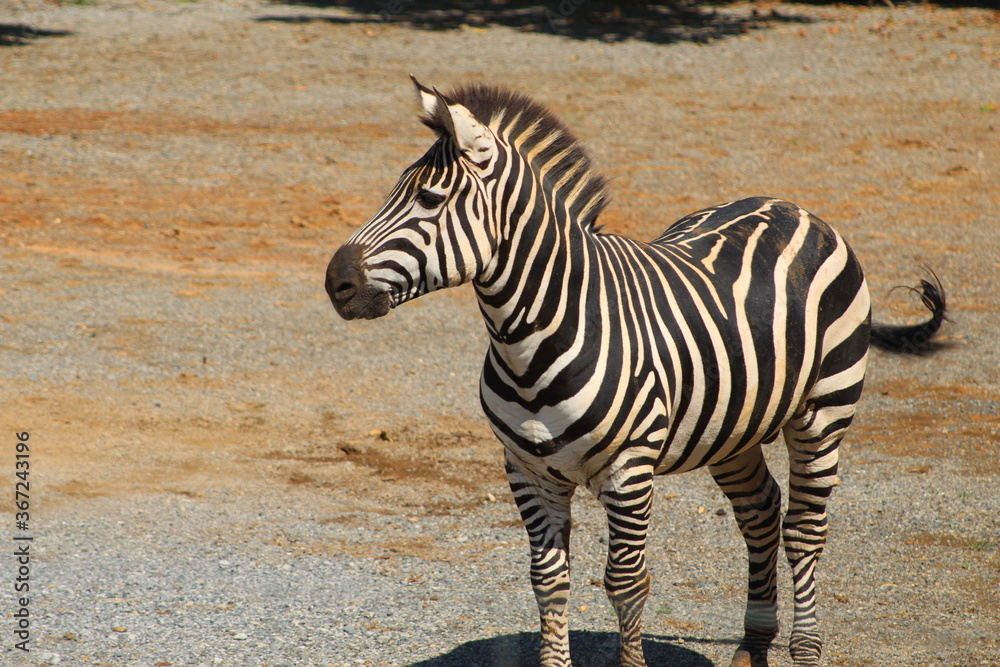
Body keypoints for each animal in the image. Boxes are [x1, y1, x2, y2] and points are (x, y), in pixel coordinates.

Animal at [322, 81, 944, 667]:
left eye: (429, 199)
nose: (335, 283)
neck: (531, 338)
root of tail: (792, 207)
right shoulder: (527, 470)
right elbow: (548, 582)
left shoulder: (629, 470)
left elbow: (625, 583)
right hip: (732, 425)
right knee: (760, 511)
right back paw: (753, 646)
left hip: (823, 412)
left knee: (804, 530)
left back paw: (805, 649)